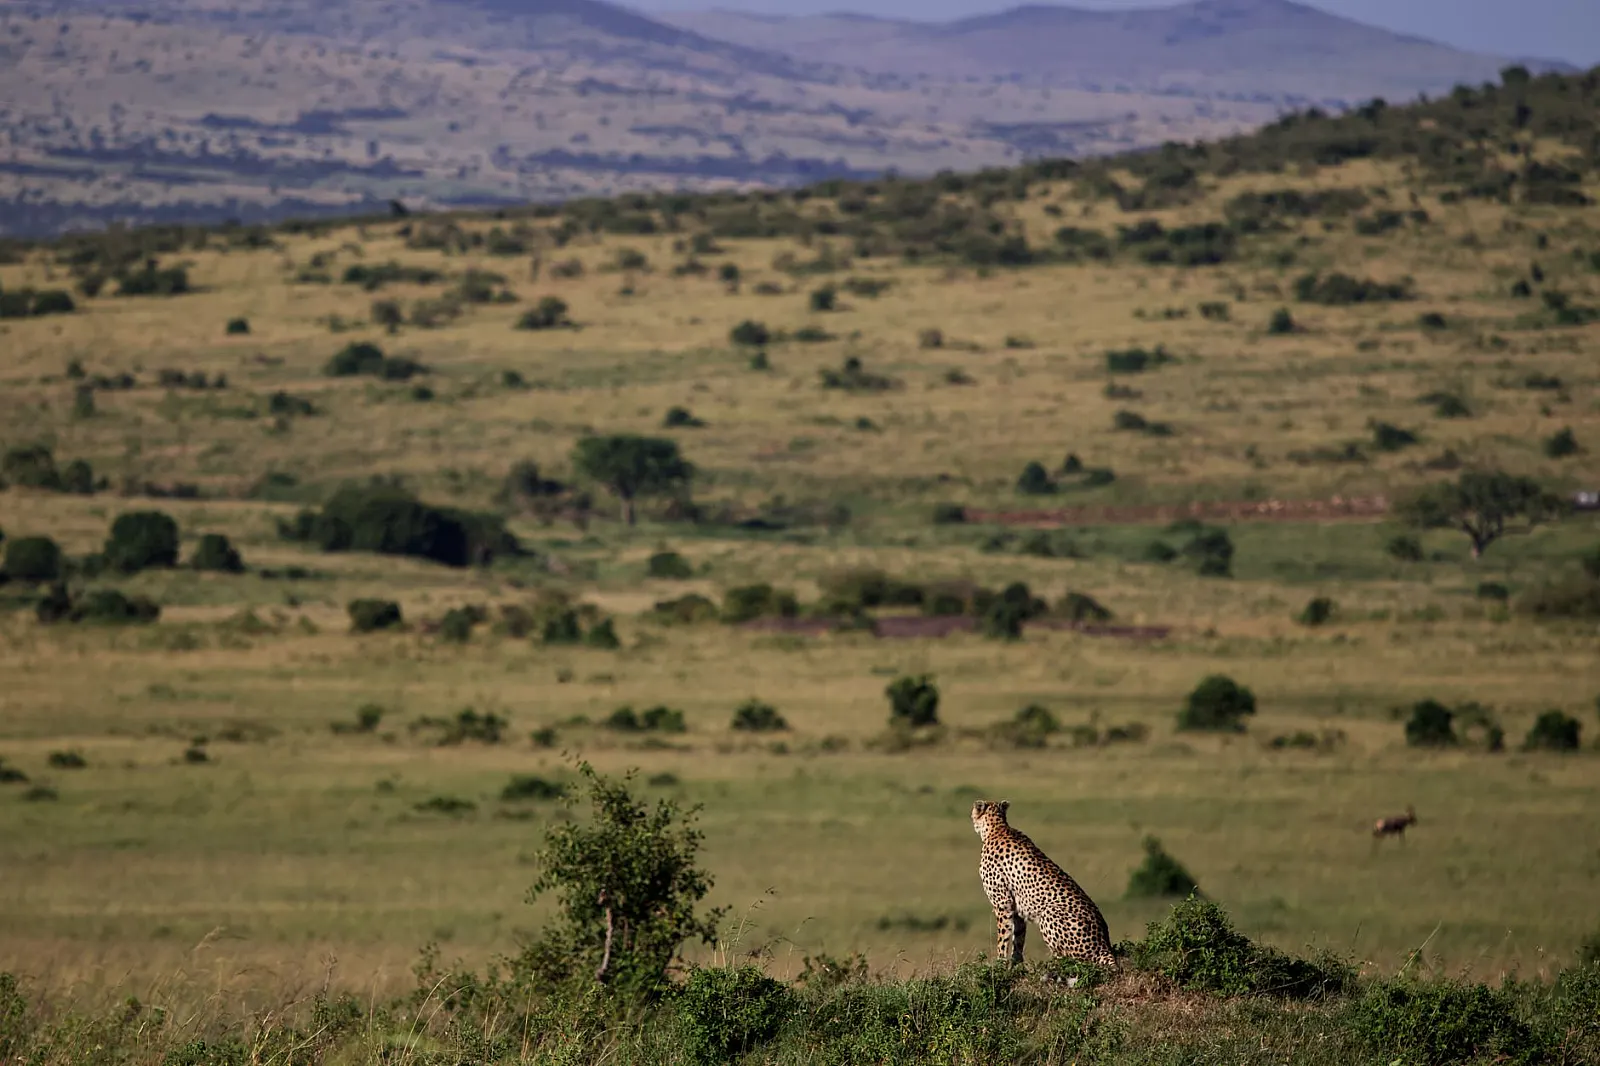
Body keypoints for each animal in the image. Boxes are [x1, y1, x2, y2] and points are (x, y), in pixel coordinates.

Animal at [971, 799, 1117, 968]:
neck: (997, 828)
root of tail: (1104, 945)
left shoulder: (1003, 903)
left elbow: (1003, 938)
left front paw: (1000, 964)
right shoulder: (1017, 907)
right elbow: (1018, 938)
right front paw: (1017, 964)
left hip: (1049, 913)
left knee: (1072, 959)